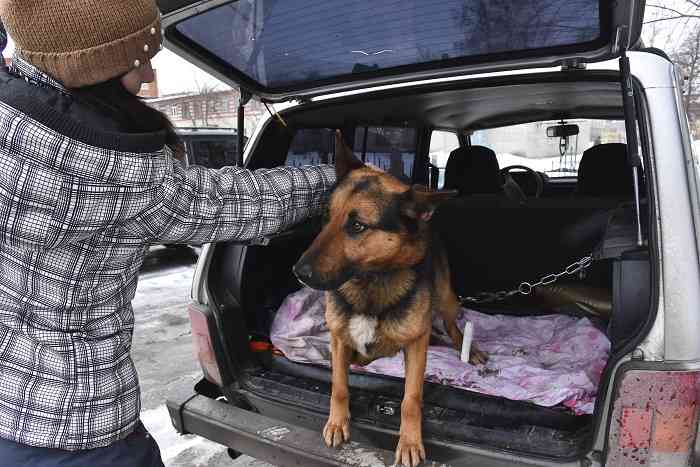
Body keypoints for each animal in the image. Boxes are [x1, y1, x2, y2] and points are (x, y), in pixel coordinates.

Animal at [292, 132, 486, 467]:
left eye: (357, 225)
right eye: (326, 216)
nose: (297, 272)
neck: (369, 282)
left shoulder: (417, 344)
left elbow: (411, 399)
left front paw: (409, 442)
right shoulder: (338, 339)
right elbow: (339, 385)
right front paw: (337, 421)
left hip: (447, 298)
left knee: (452, 325)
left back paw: (465, 347)